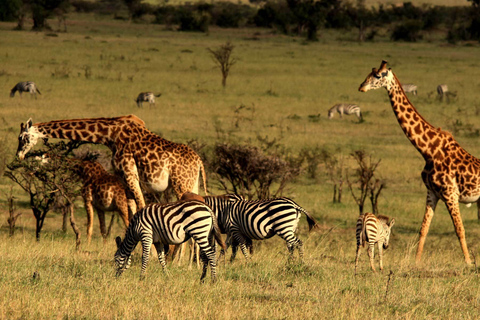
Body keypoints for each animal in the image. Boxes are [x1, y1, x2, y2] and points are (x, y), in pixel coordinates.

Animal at [17, 114, 208, 210]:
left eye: (22, 137)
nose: (19, 155)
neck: (110, 135)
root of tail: (199, 161)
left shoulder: (130, 174)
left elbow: (141, 206)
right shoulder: (123, 178)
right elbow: (132, 209)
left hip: (181, 184)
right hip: (192, 183)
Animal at [358, 60, 478, 264]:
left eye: (378, 75)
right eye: (370, 72)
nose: (361, 87)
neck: (428, 150)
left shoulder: (451, 193)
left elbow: (459, 230)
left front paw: (469, 263)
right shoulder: (432, 192)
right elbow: (423, 229)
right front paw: (416, 262)